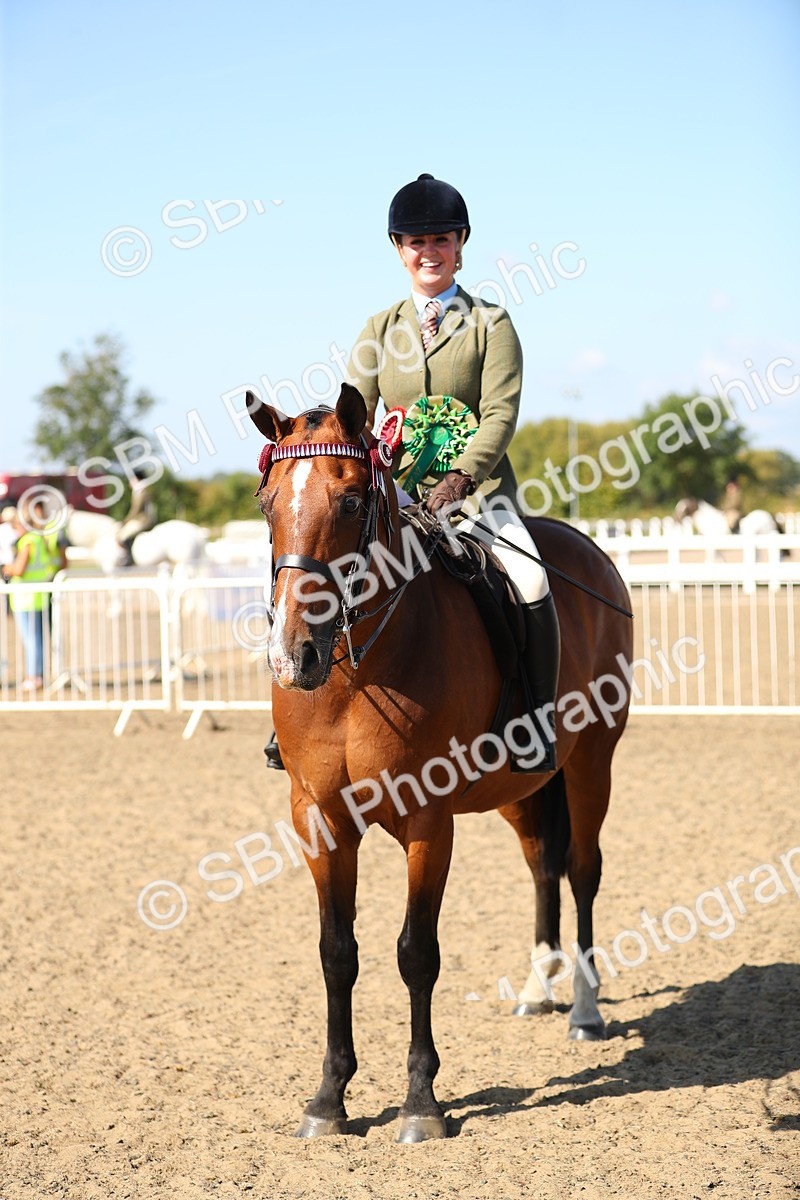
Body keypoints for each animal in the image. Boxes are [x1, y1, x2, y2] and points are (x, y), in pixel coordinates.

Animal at [249, 384, 633, 1142]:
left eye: (351, 502)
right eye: (267, 502)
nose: (292, 657)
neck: (354, 672)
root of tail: (586, 547)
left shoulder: (428, 820)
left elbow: (415, 953)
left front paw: (422, 1103)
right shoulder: (318, 817)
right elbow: (337, 953)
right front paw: (328, 1099)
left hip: (591, 763)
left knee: (581, 871)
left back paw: (583, 1009)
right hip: (522, 788)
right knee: (543, 866)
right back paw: (539, 991)